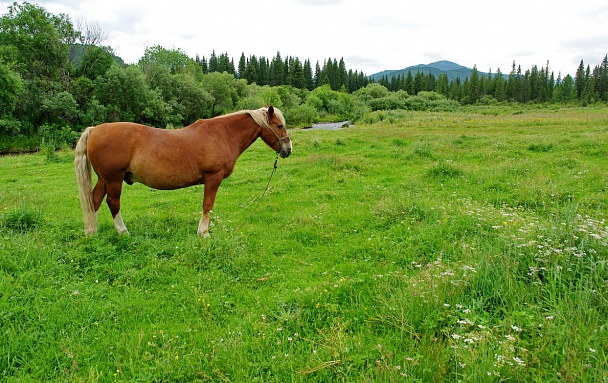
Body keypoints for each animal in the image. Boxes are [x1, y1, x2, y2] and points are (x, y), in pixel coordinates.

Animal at [73, 106, 292, 237]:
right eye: (279, 125)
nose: (288, 150)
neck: (223, 134)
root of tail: (94, 129)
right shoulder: (213, 178)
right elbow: (207, 205)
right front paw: (204, 233)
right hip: (113, 179)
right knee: (112, 202)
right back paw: (122, 231)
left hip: (104, 179)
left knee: (95, 200)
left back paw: (93, 232)